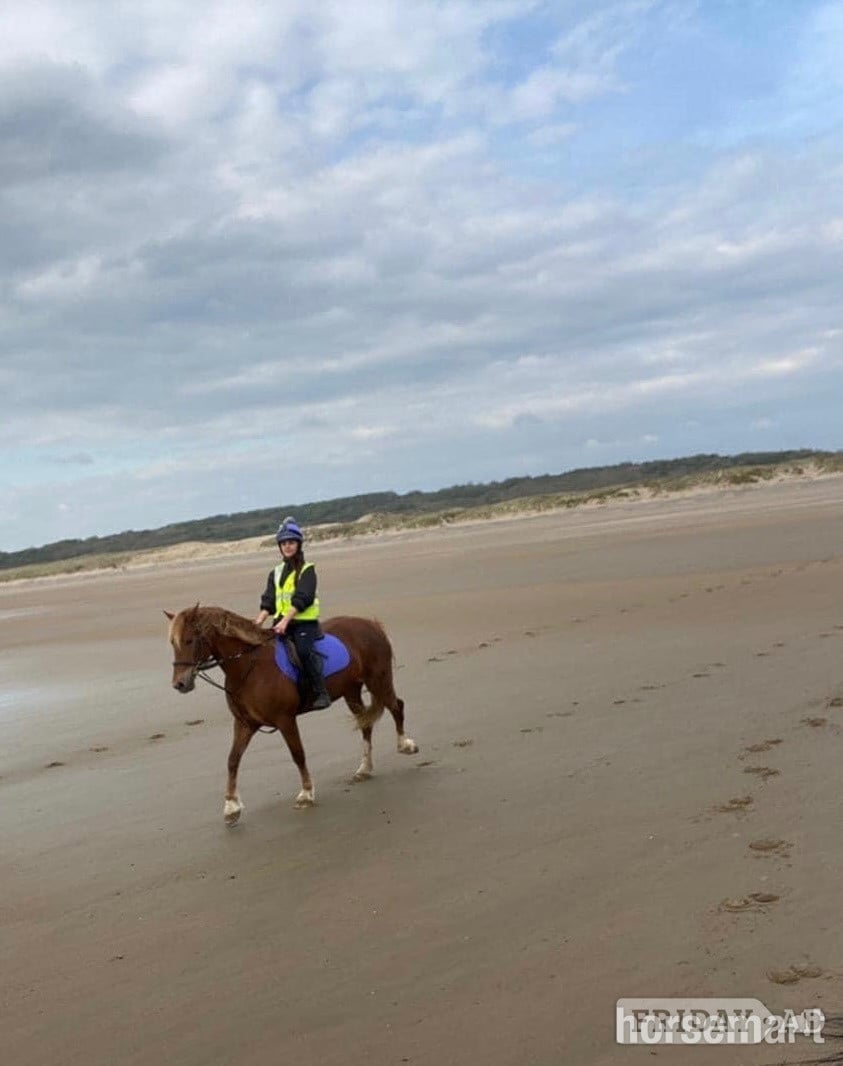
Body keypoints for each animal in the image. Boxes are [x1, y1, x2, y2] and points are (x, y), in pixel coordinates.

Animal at [164, 605, 418, 823]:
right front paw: (231, 807)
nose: (180, 684)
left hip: (378, 681)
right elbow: (232, 760)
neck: (249, 667)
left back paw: (405, 744)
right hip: (352, 691)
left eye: (189, 640)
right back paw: (364, 768)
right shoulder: (245, 724)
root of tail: (371, 624)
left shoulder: (285, 720)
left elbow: (298, 754)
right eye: (173, 643)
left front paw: (306, 794)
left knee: (397, 706)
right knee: (365, 722)